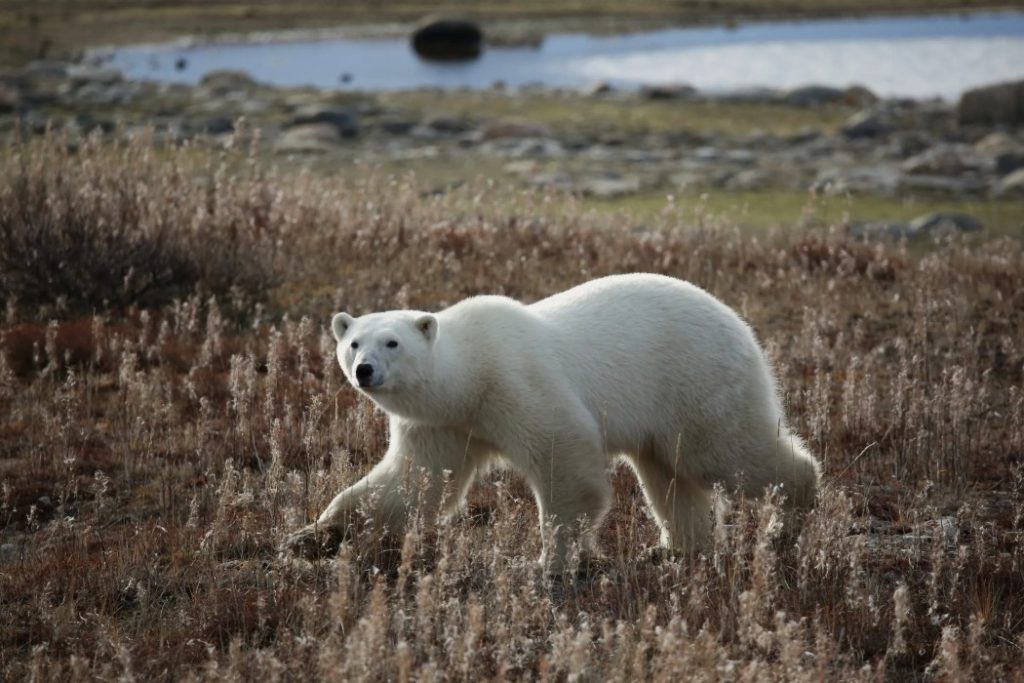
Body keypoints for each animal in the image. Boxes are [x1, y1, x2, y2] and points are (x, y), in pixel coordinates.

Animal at [284, 273, 821, 573]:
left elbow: (563, 459)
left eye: (393, 342)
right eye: (354, 341)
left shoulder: (512, 383)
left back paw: (786, 521)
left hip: (696, 379)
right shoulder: (446, 423)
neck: (470, 374)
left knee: (728, 452)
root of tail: (739, 322)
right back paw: (675, 550)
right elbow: (411, 483)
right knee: (666, 474)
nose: (364, 370)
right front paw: (313, 536)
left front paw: (550, 561)